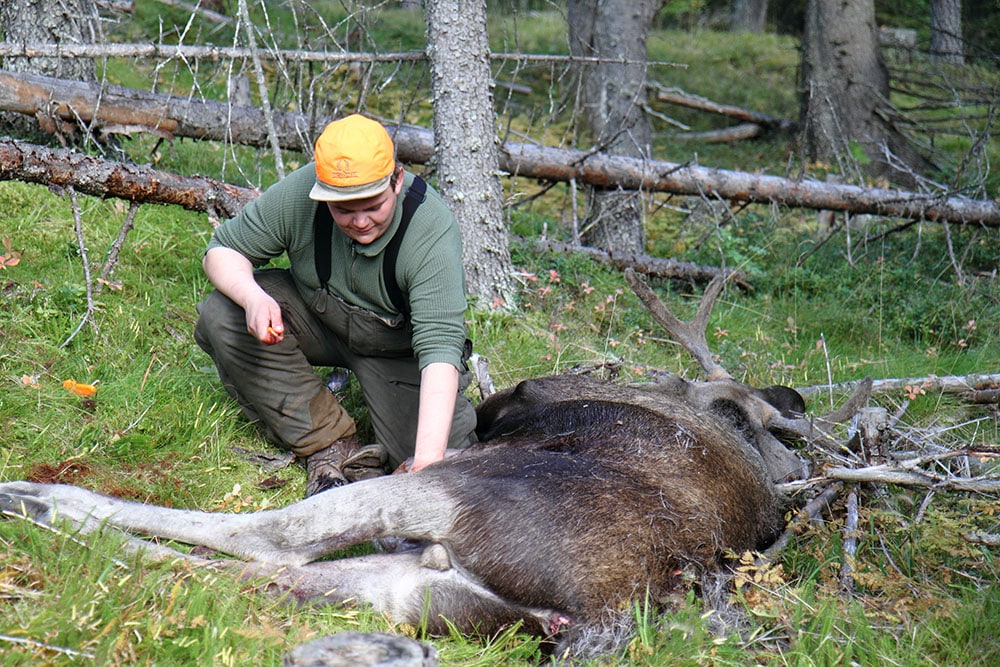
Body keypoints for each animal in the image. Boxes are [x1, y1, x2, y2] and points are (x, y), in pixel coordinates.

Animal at [0, 270, 868, 656]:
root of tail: (595, 616)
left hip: (438, 497)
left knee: (268, 541)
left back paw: (37, 497)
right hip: (428, 593)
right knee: (271, 574)